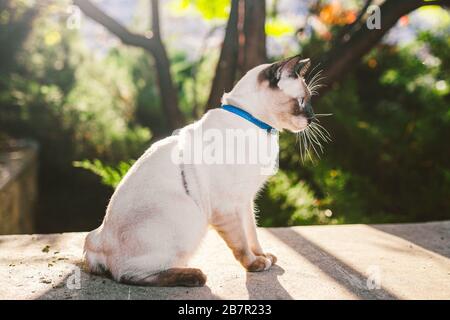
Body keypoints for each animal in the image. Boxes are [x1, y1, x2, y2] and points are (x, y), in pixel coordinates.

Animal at [84, 55, 316, 288]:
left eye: (308, 101)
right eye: (301, 102)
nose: (312, 118)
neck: (257, 125)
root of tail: (98, 240)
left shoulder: (245, 201)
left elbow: (253, 234)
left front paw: (263, 256)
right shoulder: (227, 206)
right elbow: (241, 244)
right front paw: (255, 264)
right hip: (191, 217)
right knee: (129, 275)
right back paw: (194, 276)